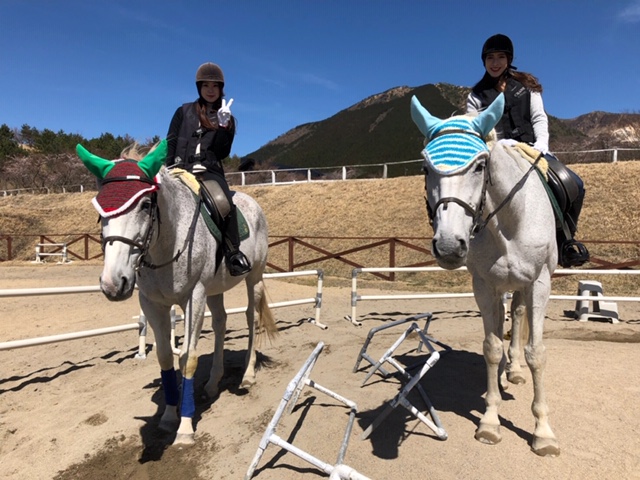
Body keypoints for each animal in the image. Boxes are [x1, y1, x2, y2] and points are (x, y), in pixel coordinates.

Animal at [76, 140, 278, 444]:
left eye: (146, 204)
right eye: (100, 209)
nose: (113, 283)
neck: (165, 245)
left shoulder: (194, 297)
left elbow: (188, 357)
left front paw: (184, 426)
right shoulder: (152, 303)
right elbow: (165, 357)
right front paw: (170, 415)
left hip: (253, 279)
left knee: (251, 318)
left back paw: (248, 375)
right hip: (214, 290)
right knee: (220, 323)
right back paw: (213, 382)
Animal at [410, 93, 560, 456]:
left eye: (480, 165)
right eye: (425, 168)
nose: (449, 245)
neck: (507, 221)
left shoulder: (540, 283)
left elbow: (537, 353)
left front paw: (543, 432)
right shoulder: (484, 285)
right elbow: (491, 348)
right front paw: (490, 422)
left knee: (519, 316)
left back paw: (516, 370)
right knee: (511, 314)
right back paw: (510, 368)